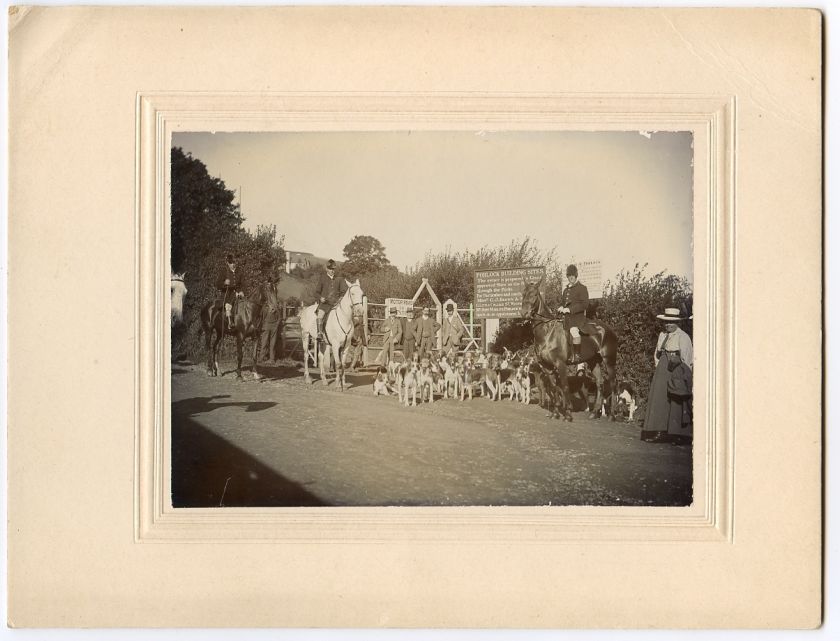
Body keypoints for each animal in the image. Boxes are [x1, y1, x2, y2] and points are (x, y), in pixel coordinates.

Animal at [520, 280, 616, 420]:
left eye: (534, 295)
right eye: (523, 294)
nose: (524, 314)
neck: (547, 333)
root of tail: (609, 329)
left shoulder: (561, 364)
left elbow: (564, 387)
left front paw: (568, 413)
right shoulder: (547, 367)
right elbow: (554, 387)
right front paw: (555, 412)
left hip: (609, 361)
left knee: (614, 384)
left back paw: (612, 415)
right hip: (593, 361)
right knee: (600, 383)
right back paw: (594, 412)